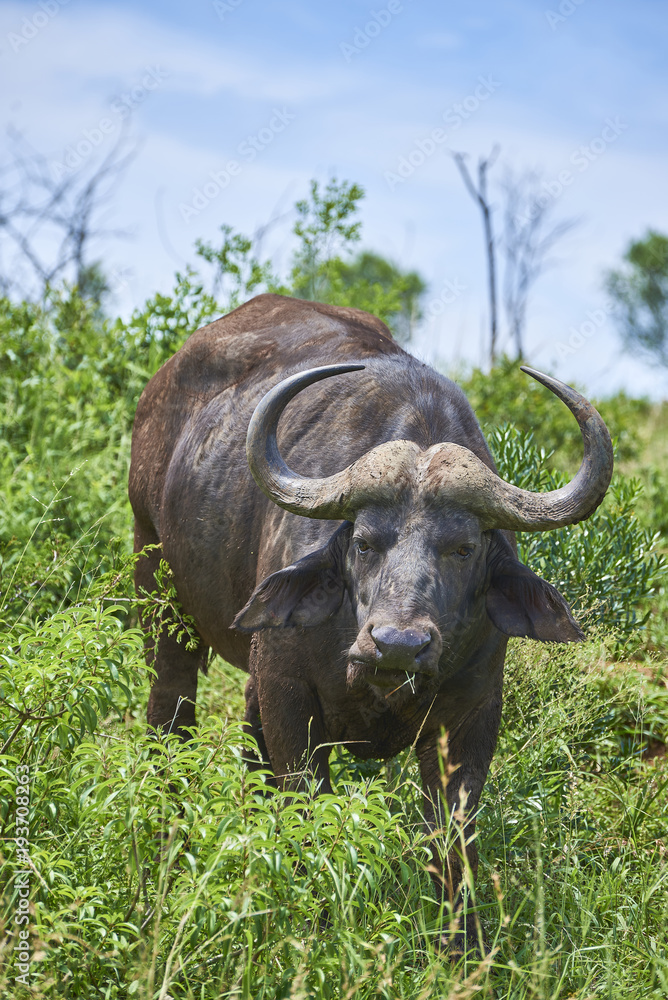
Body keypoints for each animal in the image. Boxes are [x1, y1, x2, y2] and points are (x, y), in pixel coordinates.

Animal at [128, 292, 612, 948]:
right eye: (363, 542)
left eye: (463, 548)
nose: (398, 644)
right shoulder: (290, 696)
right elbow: (310, 810)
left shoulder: (473, 714)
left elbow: (453, 836)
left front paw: (464, 944)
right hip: (156, 582)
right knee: (171, 712)